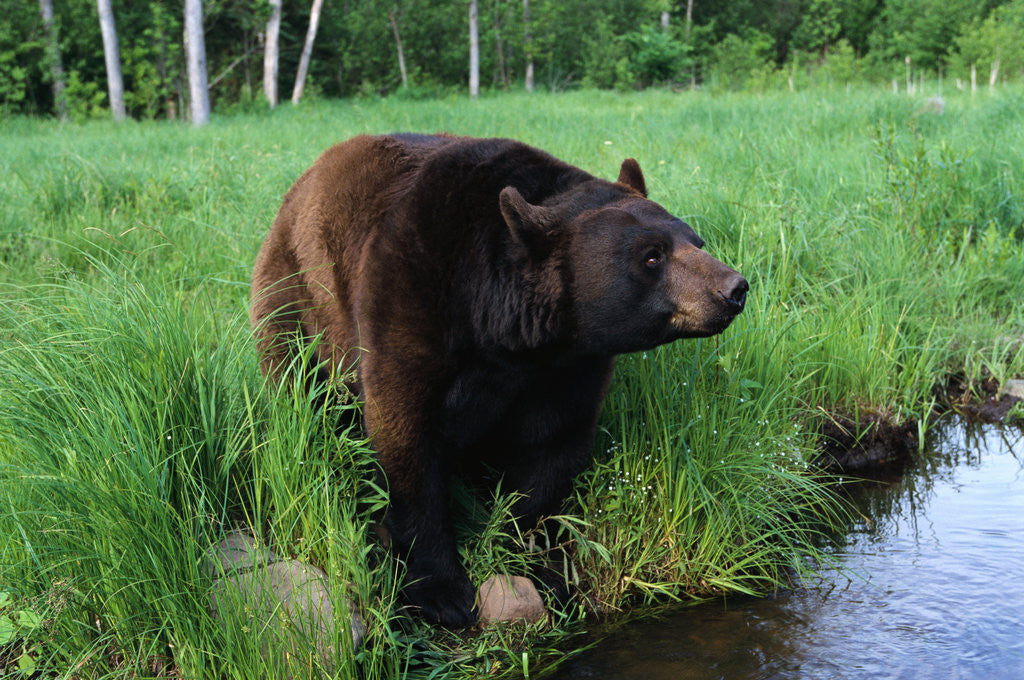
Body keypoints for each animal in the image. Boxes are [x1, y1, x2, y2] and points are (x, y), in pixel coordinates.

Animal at [250, 133, 748, 627]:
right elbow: (407, 439)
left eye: (697, 240)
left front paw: (534, 562)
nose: (734, 287)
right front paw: (442, 592)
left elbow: (551, 446)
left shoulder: (567, 366)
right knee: (303, 389)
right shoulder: (410, 296)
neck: (506, 327)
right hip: (297, 303)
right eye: (651, 256)